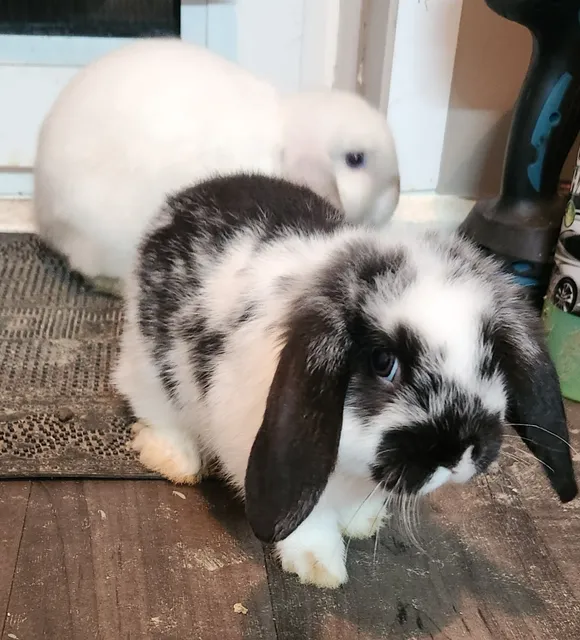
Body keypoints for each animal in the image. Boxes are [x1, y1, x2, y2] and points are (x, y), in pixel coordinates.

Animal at [113, 173, 577, 588]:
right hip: (148, 366)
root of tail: (182, 198)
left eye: (489, 356)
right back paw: (175, 460)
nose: (461, 453)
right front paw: (320, 567)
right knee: (154, 407)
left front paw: (363, 523)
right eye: (384, 362)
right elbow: (310, 519)